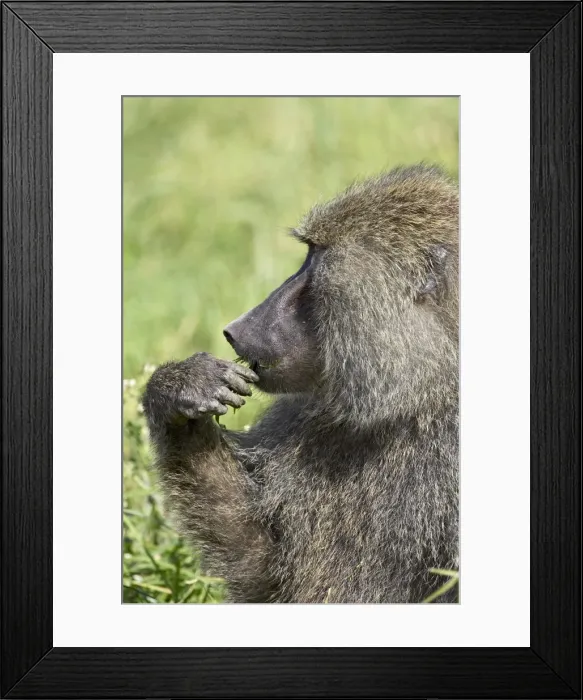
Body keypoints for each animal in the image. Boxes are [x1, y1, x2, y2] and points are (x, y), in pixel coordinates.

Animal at [143, 164, 459, 603]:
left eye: (317, 260)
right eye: (307, 252)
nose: (236, 330)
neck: (420, 401)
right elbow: (264, 567)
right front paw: (183, 390)